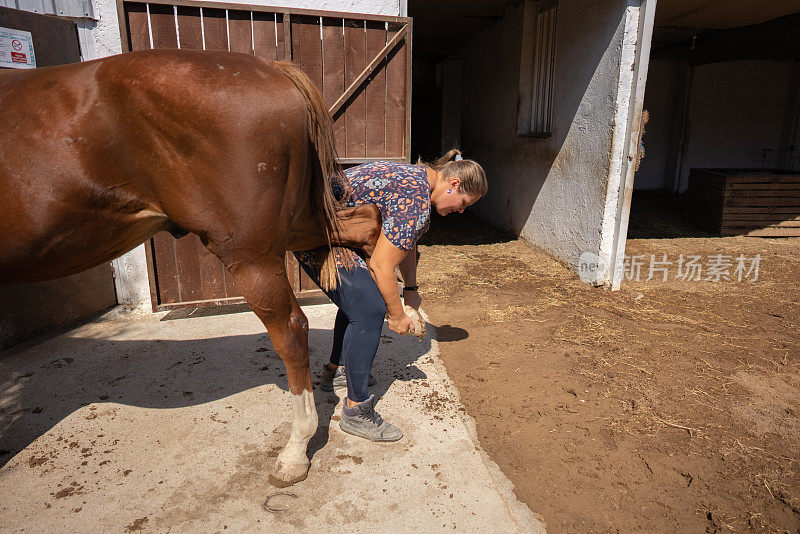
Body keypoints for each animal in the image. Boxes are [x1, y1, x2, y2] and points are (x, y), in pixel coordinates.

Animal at [0, 50, 382, 490]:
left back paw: (295, 451)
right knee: (368, 222)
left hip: (250, 252)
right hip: (298, 223)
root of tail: (274, 69)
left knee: (291, 329)